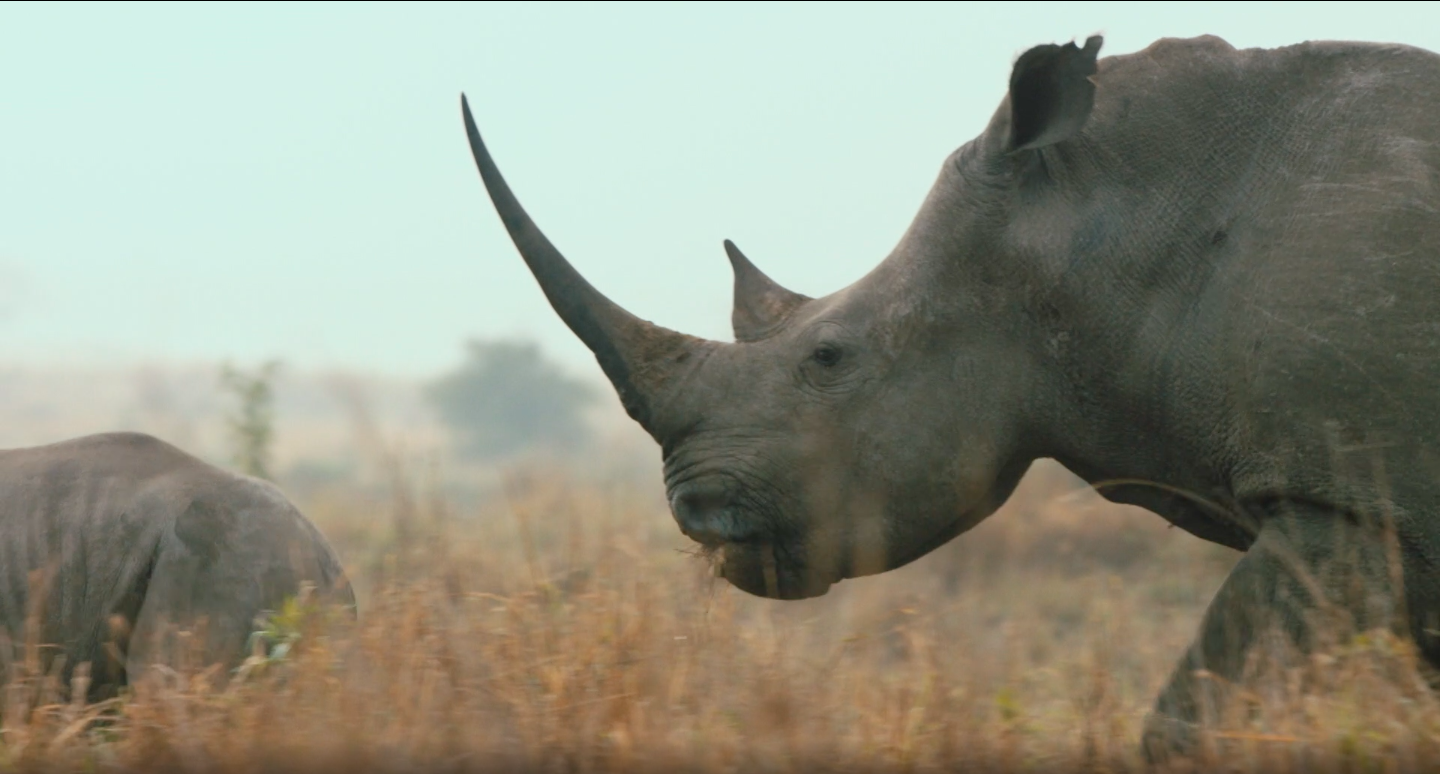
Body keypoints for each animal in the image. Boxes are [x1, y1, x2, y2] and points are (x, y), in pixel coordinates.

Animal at [460, 33, 1440, 761]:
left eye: (829, 357)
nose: (696, 514)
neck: (1101, 230)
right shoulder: (1386, 512)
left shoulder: (1351, 502)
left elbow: (1194, 723)